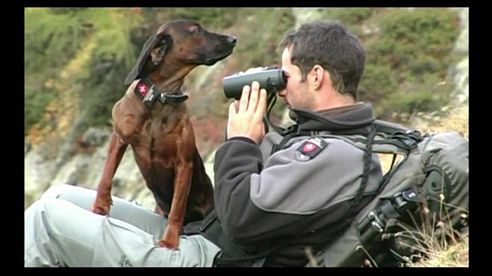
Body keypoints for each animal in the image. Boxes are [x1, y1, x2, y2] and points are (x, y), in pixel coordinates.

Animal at [92, 19, 238, 248]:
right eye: (196, 30)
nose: (233, 39)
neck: (159, 98)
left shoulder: (183, 163)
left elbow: (177, 208)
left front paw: (169, 241)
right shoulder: (119, 137)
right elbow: (106, 177)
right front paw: (100, 207)